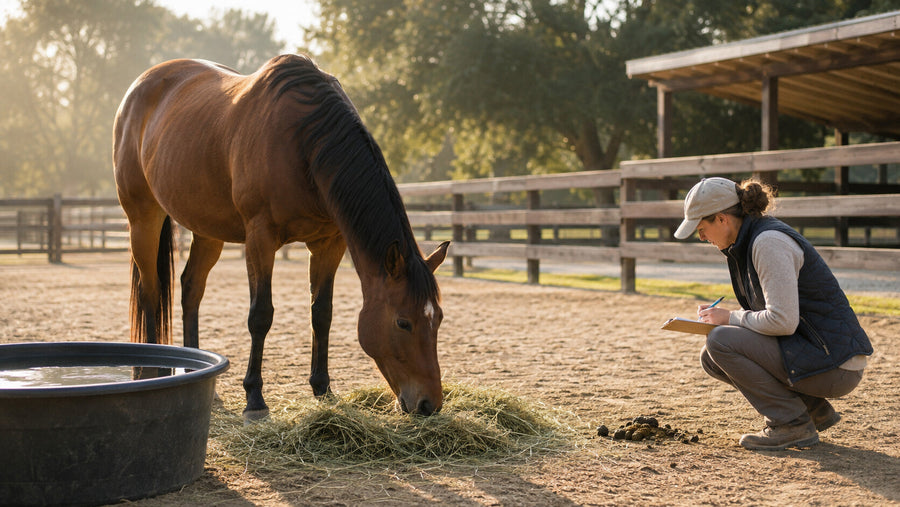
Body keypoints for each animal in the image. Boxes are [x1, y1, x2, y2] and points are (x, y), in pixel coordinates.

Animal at [112, 54, 450, 419]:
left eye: (438, 319)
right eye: (403, 322)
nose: (429, 404)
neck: (303, 142)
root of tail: (140, 86)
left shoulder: (329, 243)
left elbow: (322, 313)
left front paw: (322, 388)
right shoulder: (260, 238)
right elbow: (261, 315)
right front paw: (254, 398)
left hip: (207, 229)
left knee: (191, 289)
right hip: (143, 217)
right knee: (150, 292)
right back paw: (151, 372)